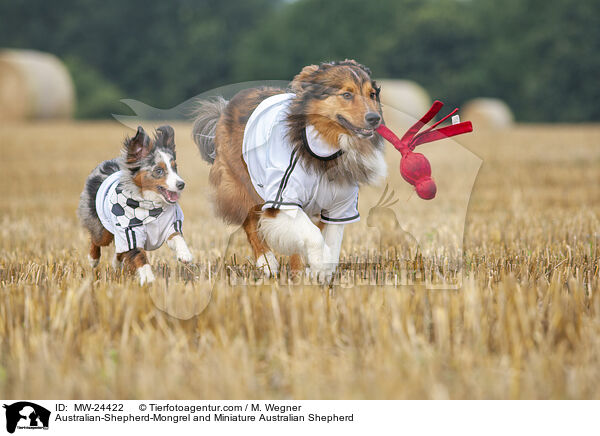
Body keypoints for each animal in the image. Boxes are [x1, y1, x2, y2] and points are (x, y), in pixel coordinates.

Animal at [193, 59, 390, 282]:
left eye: (372, 94)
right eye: (347, 94)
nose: (374, 118)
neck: (325, 150)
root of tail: (227, 106)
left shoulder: (339, 207)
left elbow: (331, 242)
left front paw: (321, 271)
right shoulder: (282, 198)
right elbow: (313, 236)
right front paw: (319, 266)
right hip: (240, 185)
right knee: (250, 223)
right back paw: (267, 263)